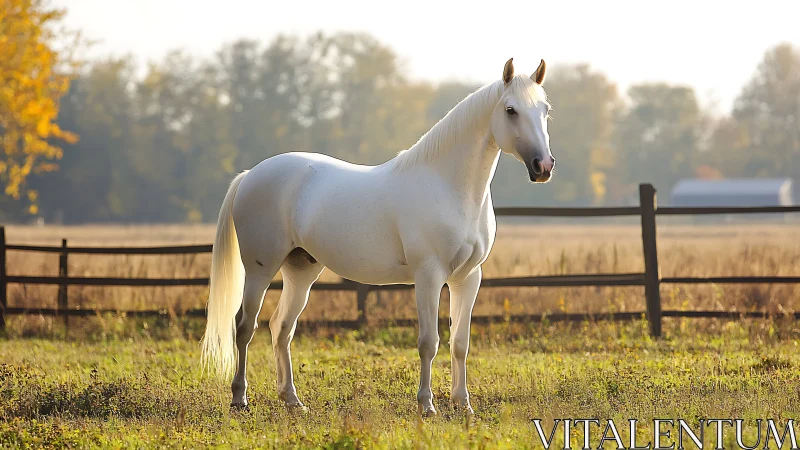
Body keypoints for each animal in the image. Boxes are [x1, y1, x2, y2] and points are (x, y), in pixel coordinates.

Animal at [201, 58, 555, 417]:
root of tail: (249, 175)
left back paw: (293, 401)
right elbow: (429, 343)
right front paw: (427, 406)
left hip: (301, 270)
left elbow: (460, 343)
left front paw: (463, 405)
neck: (448, 185)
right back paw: (239, 399)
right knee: (245, 327)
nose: (543, 166)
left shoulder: (467, 278)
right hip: (259, 269)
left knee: (281, 329)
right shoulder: (428, 276)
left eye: (545, 109)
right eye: (510, 110)